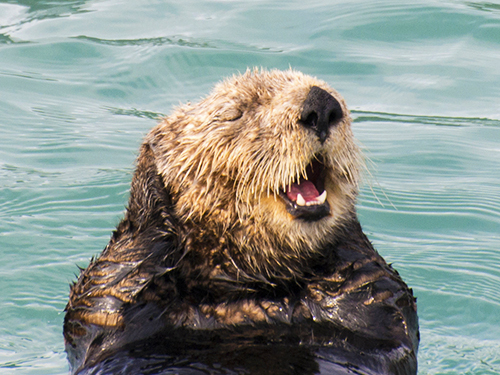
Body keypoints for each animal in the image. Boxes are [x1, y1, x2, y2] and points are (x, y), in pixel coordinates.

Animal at [65, 69, 418, 374]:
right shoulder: (100, 310)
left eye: (337, 98)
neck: (251, 289)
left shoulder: (380, 313)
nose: (320, 105)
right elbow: (108, 290)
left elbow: (382, 299)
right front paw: (150, 166)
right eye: (236, 113)